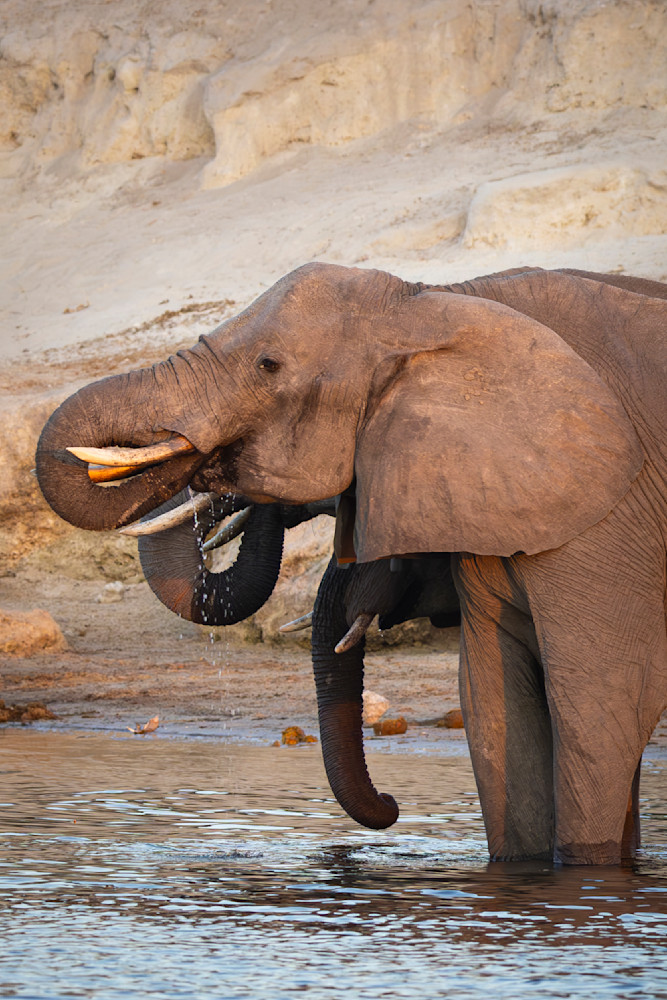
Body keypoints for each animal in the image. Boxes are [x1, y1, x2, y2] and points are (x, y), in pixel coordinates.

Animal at [36, 263, 667, 865]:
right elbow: (493, 712)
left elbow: (597, 713)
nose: (391, 803)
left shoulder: (612, 520)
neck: (433, 299)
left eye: (269, 366)